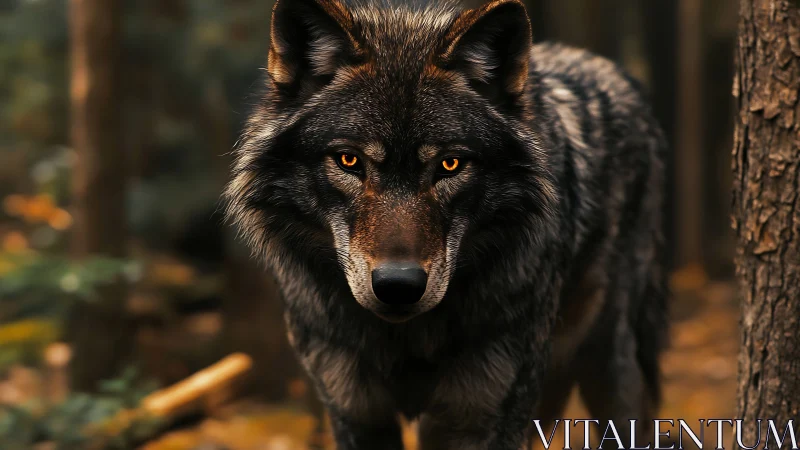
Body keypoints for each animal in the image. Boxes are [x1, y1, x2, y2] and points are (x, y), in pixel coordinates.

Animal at [225, 0, 668, 448]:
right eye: (349, 160)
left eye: (450, 164)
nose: (398, 285)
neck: (406, 340)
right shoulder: (354, 413)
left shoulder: (483, 417)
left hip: (609, 365)